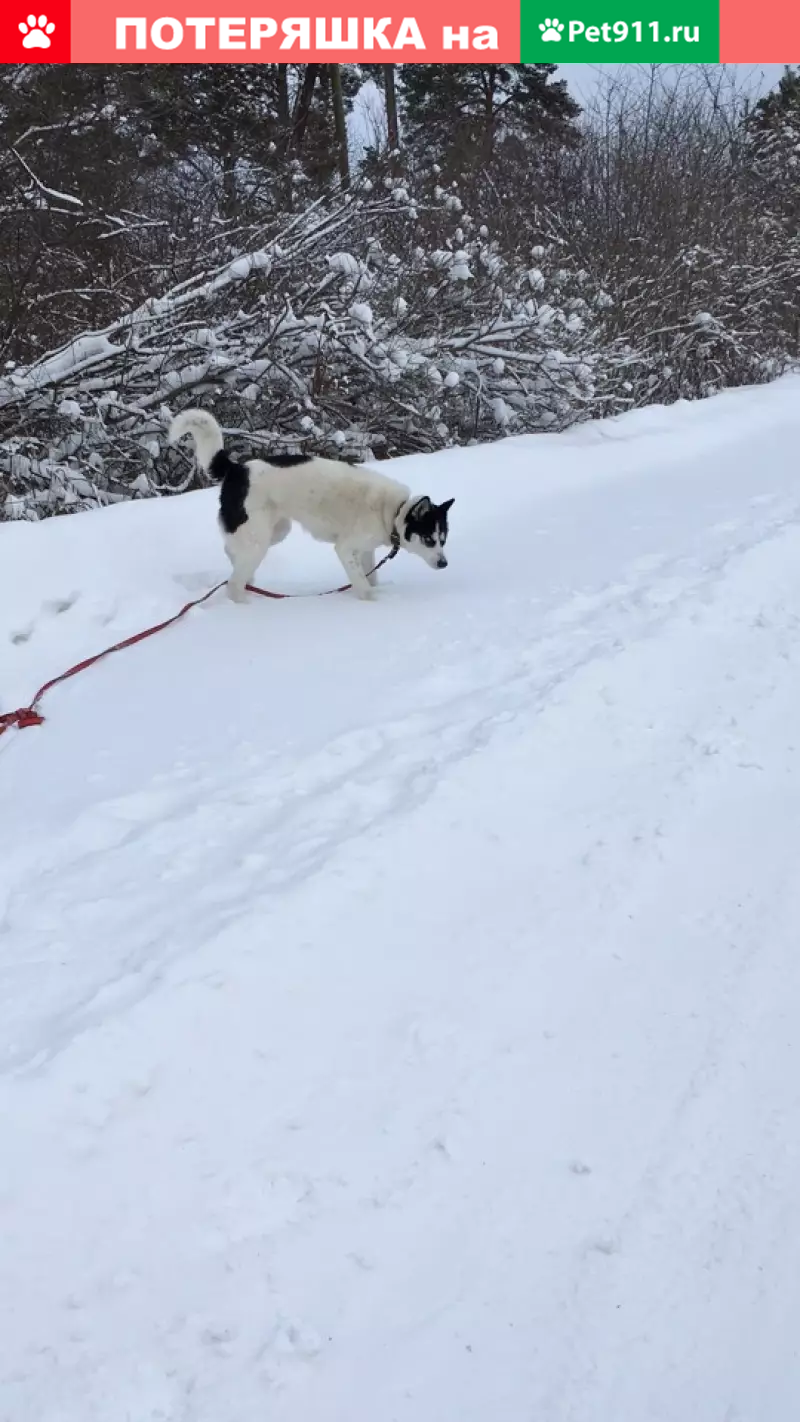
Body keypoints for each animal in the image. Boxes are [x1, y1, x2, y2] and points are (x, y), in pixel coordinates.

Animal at [169, 406, 457, 600]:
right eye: (429, 539)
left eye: (443, 540)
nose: (444, 564)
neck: (394, 511)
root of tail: (237, 469)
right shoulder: (345, 548)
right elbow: (362, 584)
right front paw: (372, 600)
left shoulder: (365, 551)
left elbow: (371, 576)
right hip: (258, 538)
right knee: (233, 584)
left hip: (275, 531)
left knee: (232, 552)